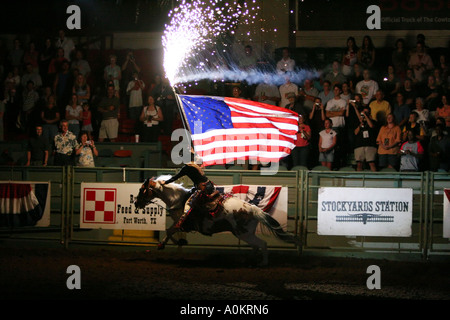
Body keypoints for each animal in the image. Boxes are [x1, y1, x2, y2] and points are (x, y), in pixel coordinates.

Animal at [135, 175, 300, 264]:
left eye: (142, 189)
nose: (136, 203)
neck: (179, 200)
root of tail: (253, 208)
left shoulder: (181, 221)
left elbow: (170, 230)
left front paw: (164, 244)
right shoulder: (179, 222)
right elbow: (170, 231)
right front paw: (177, 242)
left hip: (243, 233)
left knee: (262, 244)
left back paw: (263, 263)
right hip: (247, 234)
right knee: (255, 246)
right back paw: (251, 260)